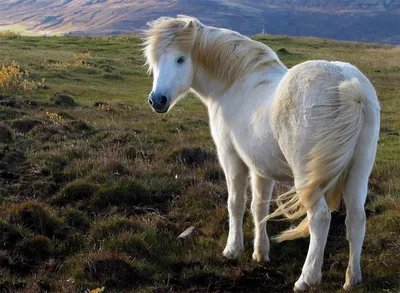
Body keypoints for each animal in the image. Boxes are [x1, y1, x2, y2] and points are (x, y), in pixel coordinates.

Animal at [143, 16, 382, 290]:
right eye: (155, 61)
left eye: (180, 59)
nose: (157, 100)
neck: (235, 83)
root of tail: (348, 85)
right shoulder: (261, 168)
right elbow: (259, 207)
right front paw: (260, 253)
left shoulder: (231, 158)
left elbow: (235, 203)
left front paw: (232, 250)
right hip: (358, 173)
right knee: (356, 219)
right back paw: (352, 279)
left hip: (307, 179)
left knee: (320, 219)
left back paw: (306, 279)